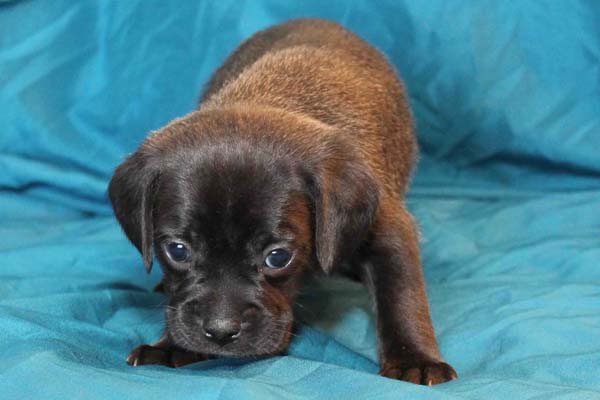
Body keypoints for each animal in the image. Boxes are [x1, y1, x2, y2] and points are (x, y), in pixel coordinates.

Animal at [109, 18, 457, 385]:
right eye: (177, 251)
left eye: (278, 257)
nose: (221, 331)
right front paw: (172, 344)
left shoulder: (388, 231)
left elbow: (401, 297)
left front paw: (414, 358)